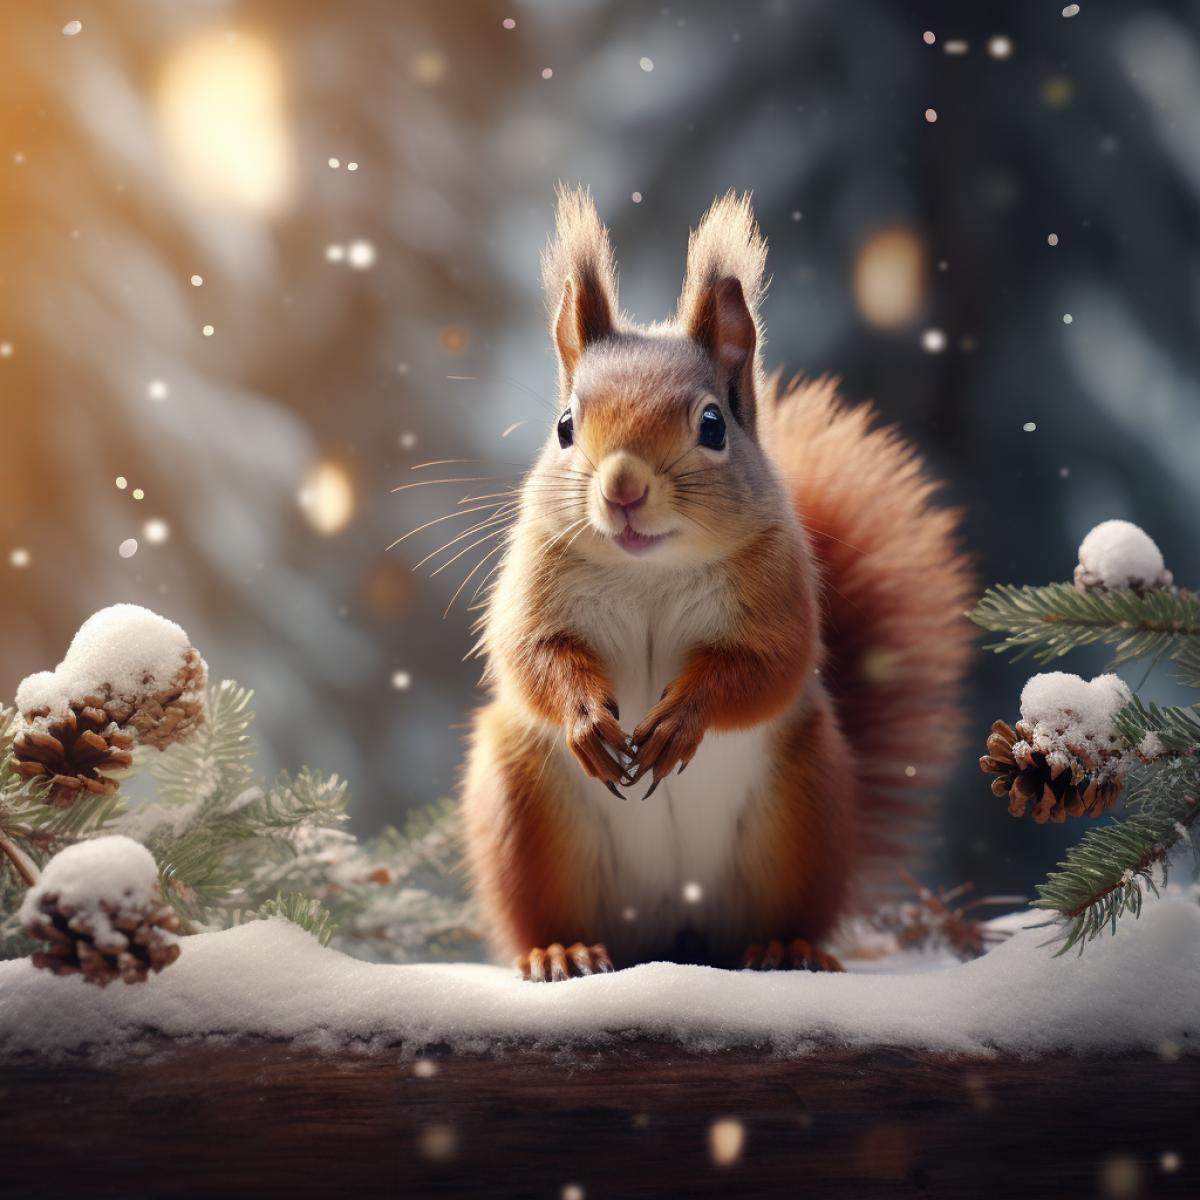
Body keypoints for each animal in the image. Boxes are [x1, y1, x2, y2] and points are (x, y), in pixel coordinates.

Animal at [460, 188, 974, 981]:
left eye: (712, 424)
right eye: (565, 426)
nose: (623, 487)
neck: (648, 573)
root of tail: (674, 936)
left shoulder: (778, 595)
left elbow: (766, 669)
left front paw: (680, 720)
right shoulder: (533, 581)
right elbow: (532, 655)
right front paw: (586, 719)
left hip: (802, 807)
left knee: (785, 915)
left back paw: (786, 949)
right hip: (523, 809)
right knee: (540, 913)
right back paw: (561, 951)